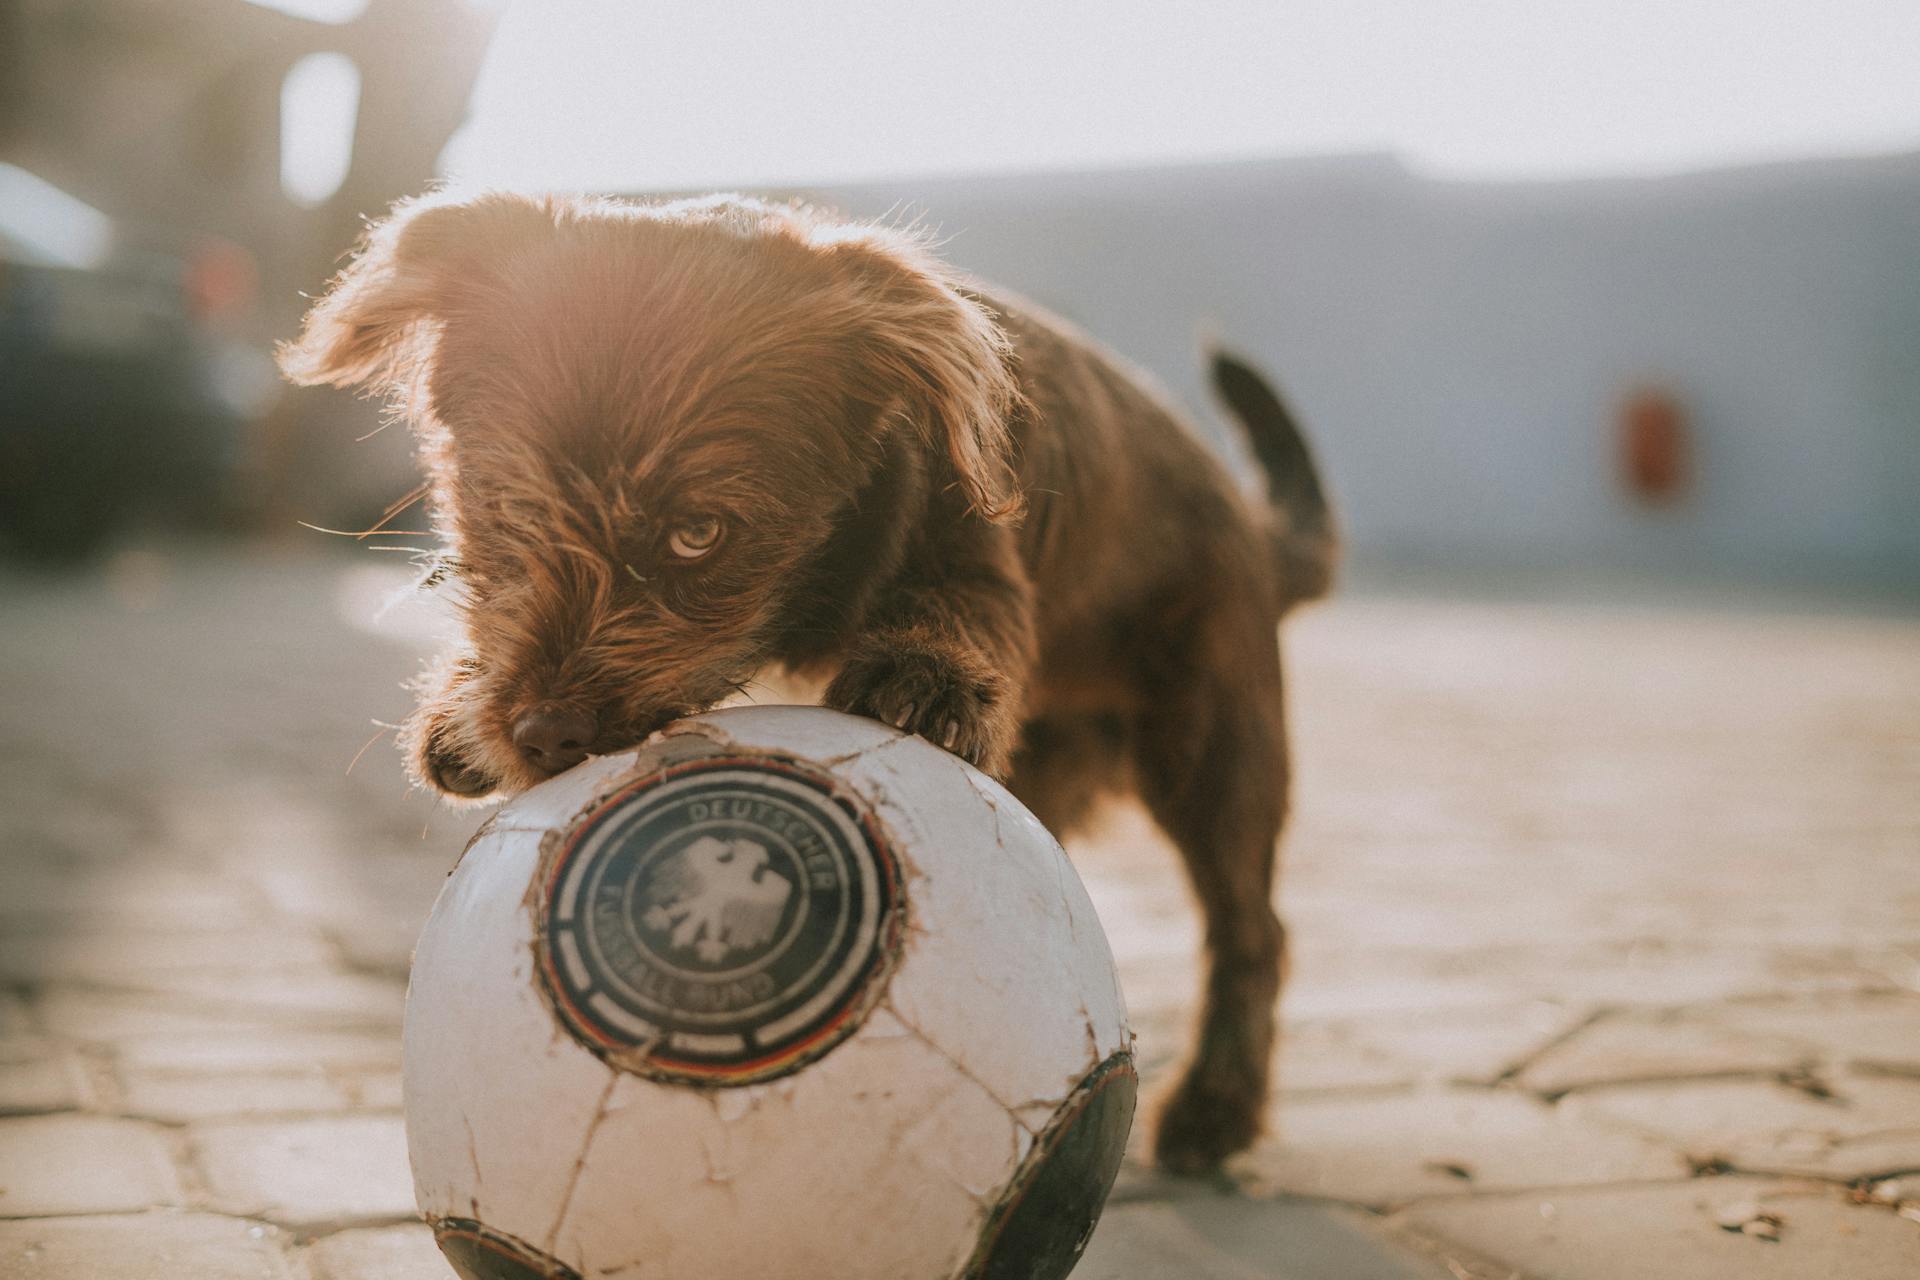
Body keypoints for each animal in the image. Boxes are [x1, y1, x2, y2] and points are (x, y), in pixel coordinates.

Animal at [280, 192, 1336, 1174]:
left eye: (698, 534)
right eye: (507, 507)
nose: (544, 733)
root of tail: (1252, 527)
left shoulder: (973, 555)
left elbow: (959, 612)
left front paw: (924, 678)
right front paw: (459, 715)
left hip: (1213, 745)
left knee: (1254, 927)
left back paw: (1215, 1107)